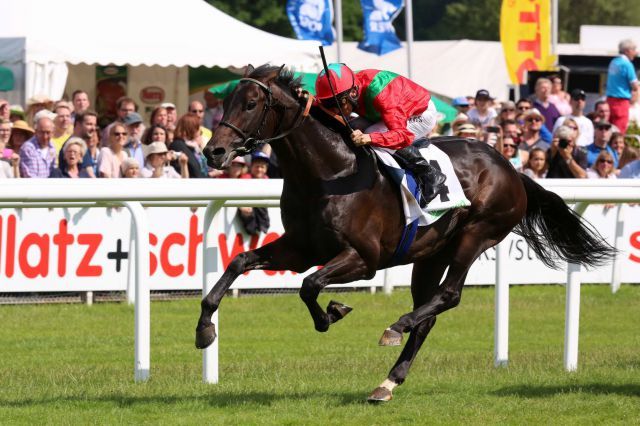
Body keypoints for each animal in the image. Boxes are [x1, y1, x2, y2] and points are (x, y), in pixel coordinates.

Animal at [196, 65, 616, 402]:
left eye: (251, 104)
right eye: (227, 100)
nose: (213, 152)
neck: (330, 174)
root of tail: (511, 168)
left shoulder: (363, 258)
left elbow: (310, 285)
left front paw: (332, 313)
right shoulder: (301, 248)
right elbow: (240, 262)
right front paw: (204, 330)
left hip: (477, 233)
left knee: (448, 296)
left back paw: (396, 327)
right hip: (431, 254)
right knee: (428, 314)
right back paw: (388, 381)